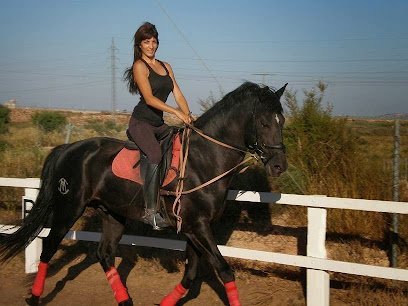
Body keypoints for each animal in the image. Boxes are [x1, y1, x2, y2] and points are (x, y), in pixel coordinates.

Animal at [0, 82, 286, 306]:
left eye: (281, 121)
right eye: (263, 122)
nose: (279, 166)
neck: (204, 159)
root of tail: (68, 148)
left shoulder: (193, 228)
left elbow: (190, 274)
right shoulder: (197, 226)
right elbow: (224, 271)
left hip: (113, 214)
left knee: (104, 254)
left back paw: (125, 300)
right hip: (69, 208)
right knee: (49, 247)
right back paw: (35, 297)